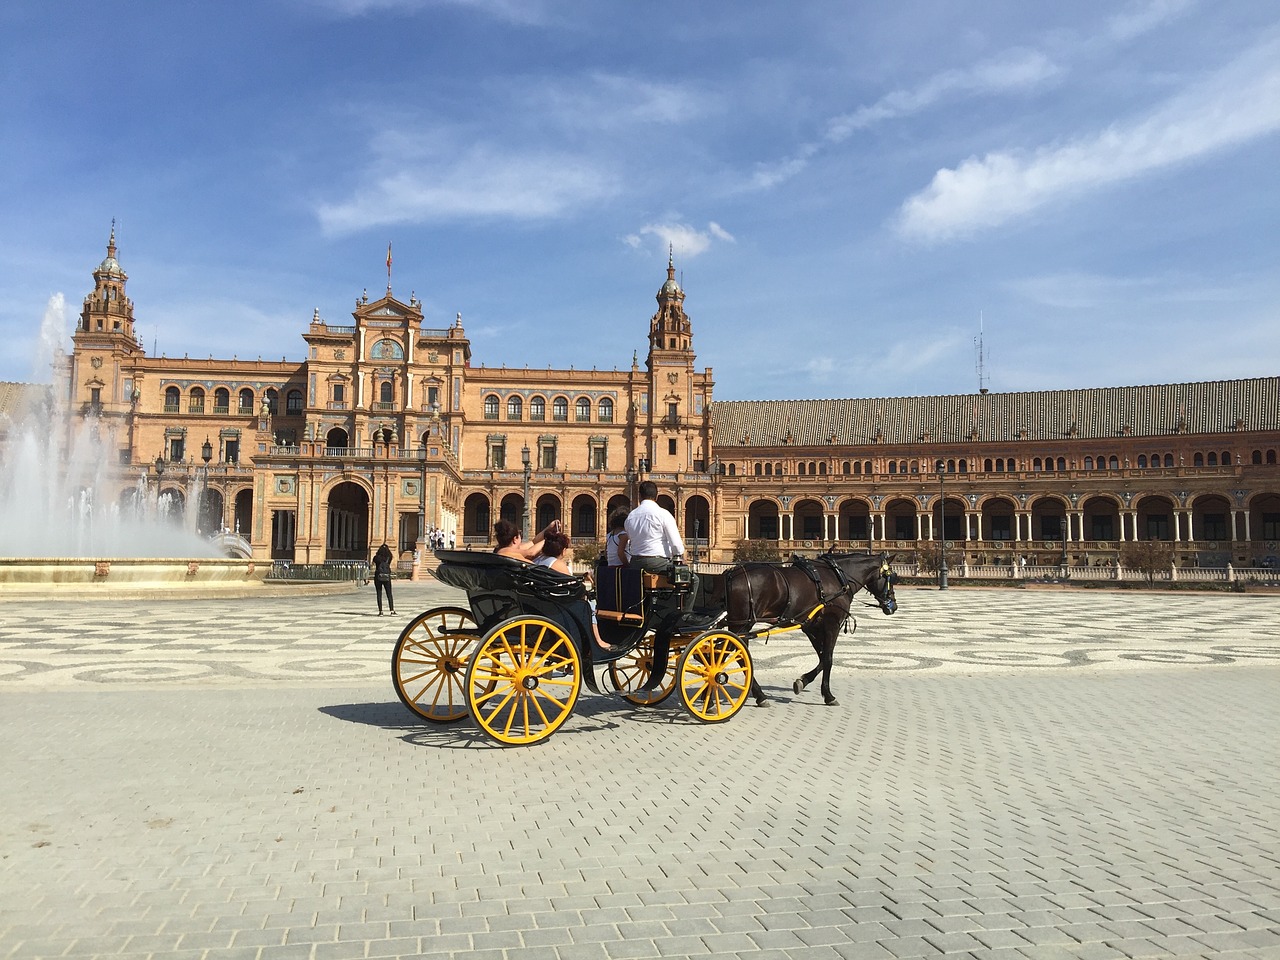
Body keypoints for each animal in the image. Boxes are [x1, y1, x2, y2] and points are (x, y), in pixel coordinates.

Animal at [721, 555, 901, 706]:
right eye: (890, 577)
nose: (893, 606)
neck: (838, 577)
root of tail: (731, 573)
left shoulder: (811, 626)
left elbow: (821, 657)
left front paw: (802, 682)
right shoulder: (832, 624)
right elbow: (828, 659)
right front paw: (828, 695)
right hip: (743, 623)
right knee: (733, 653)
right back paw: (754, 694)